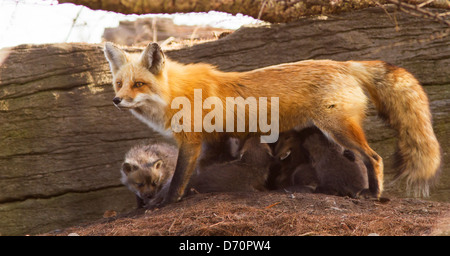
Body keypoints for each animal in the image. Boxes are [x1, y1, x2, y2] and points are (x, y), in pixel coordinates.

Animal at [103, 42, 442, 206]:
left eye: (138, 84)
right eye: (119, 84)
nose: (117, 100)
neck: (177, 93)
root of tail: (344, 63)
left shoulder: (192, 140)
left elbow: (177, 179)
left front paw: (165, 202)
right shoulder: (215, 140)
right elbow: (209, 169)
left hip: (338, 128)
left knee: (375, 158)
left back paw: (372, 194)